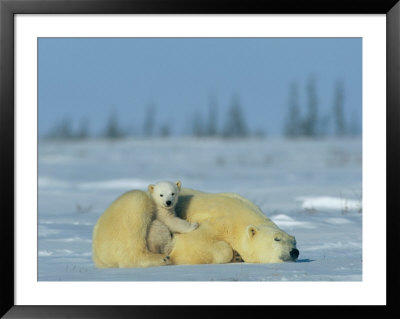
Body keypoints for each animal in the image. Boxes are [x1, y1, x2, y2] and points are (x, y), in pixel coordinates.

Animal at [92, 188, 298, 268]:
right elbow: (194, 244)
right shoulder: (216, 222)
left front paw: (238, 256)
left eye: (294, 240)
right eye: (277, 238)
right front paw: (232, 254)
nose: (294, 252)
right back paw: (160, 259)